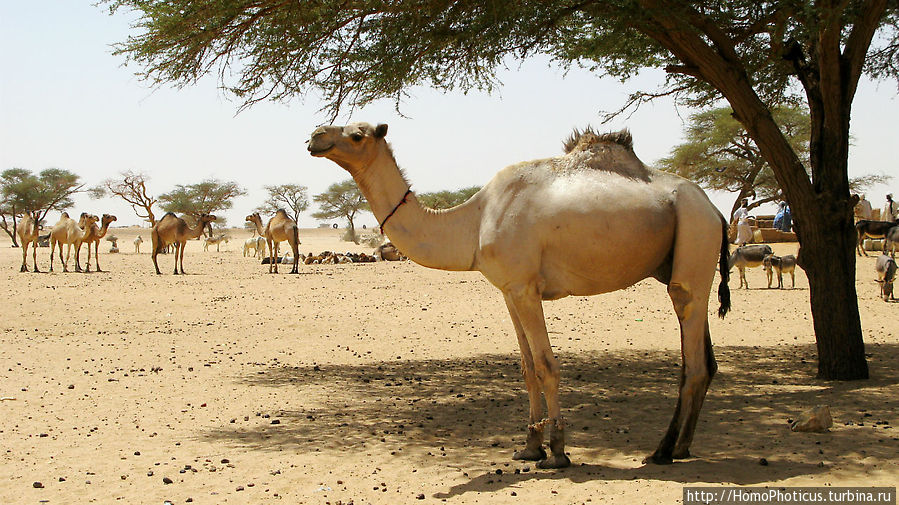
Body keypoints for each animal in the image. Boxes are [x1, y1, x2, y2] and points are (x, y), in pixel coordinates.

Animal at [310, 122, 732, 468]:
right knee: (706, 361)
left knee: (692, 358)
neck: (474, 220)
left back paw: (662, 451)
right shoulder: (509, 291)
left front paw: (558, 452)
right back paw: (683, 447)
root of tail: (715, 209)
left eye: (357, 134)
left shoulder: (527, 289)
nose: (315, 136)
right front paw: (529, 447)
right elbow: (528, 369)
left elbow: (547, 366)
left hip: (693, 236)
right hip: (686, 257)